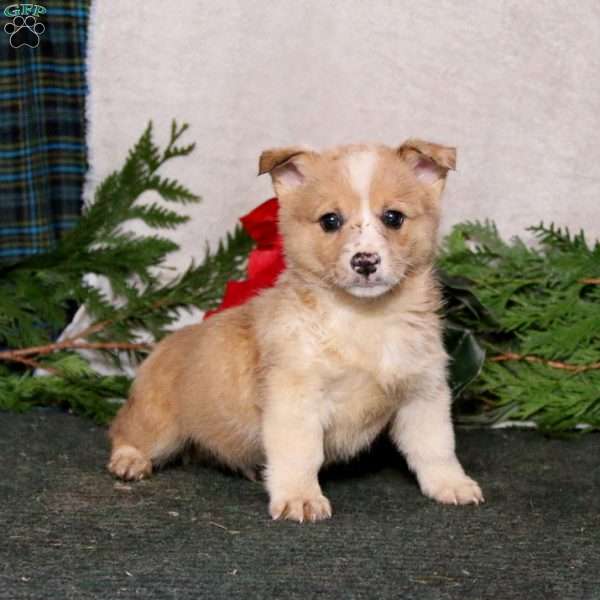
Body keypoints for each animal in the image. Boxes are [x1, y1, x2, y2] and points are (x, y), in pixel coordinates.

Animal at [108, 139, 482, 520]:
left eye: (393, 217)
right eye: (330, 220)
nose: (365, 262)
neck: (366, 319)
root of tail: (162, 346)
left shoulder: (423, 393)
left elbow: (436, 448)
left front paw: (451, 485)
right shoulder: (295, 397)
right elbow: (300, 454)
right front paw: (300, 497)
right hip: (159, 424)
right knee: (124, 429)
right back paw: (129, 461)